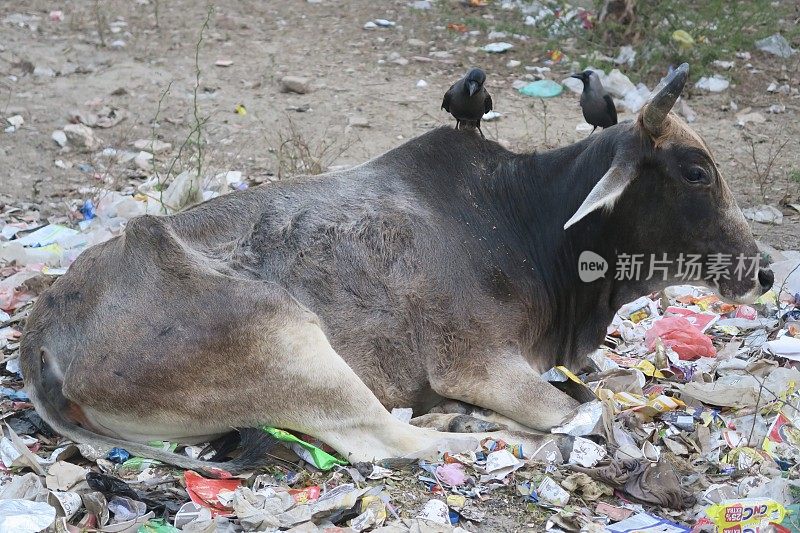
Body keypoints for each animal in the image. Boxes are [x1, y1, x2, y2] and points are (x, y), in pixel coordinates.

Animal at [20, 63, 768, 470]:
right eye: (696, 171)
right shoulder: (475, 362)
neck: (527, 222)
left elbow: (610, 388)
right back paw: (471, 432)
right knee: (381, 439)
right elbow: (579, 413)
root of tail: (41, 332)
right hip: (288, 342)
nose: (762, 272)